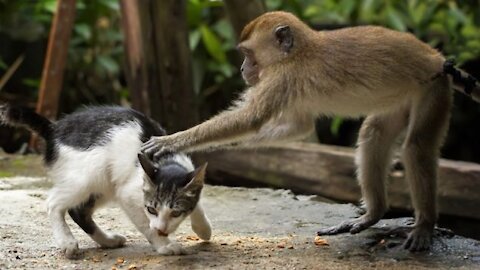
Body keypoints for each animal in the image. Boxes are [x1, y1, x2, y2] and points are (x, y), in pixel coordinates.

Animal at [0, 104, 211, 258]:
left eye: (176, 213)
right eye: (151, 209)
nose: (162, 230)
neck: (166, 160)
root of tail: (55, 129)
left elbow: (197, 203)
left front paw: (203, 229)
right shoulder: (128, 194)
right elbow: (145, 224)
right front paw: (164, 245)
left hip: (105, 185)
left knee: (79, 211)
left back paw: (108, 241)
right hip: (90, 174)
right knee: (54, 203)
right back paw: (66, 241)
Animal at [142, 10, 480, 251]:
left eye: (249, 55)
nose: (242, 69)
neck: (297, 52)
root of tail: (436, 58)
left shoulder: (282, 76)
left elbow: (250, 119)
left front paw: (175, 141)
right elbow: (298, 126)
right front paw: (228, 150)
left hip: (432, 89)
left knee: (417, 147)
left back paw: (424, 225)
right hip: (404, 96)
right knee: (373, 135)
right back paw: (374, 213)